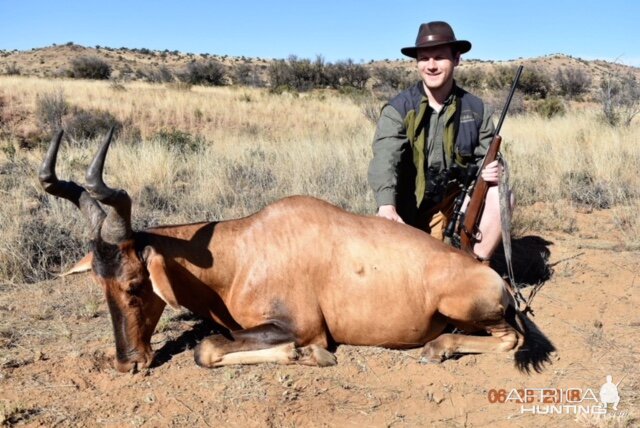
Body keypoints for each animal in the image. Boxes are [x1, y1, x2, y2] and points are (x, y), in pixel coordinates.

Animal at [38, 129, 556, 372]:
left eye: (135, 283)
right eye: (98, 281)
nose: (129, 363)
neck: (246, 248)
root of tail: (496, 279)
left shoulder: (299, 325)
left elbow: (208, 348)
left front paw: (307, 357)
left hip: (467, 308)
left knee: (510, 339)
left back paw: (437, 349)